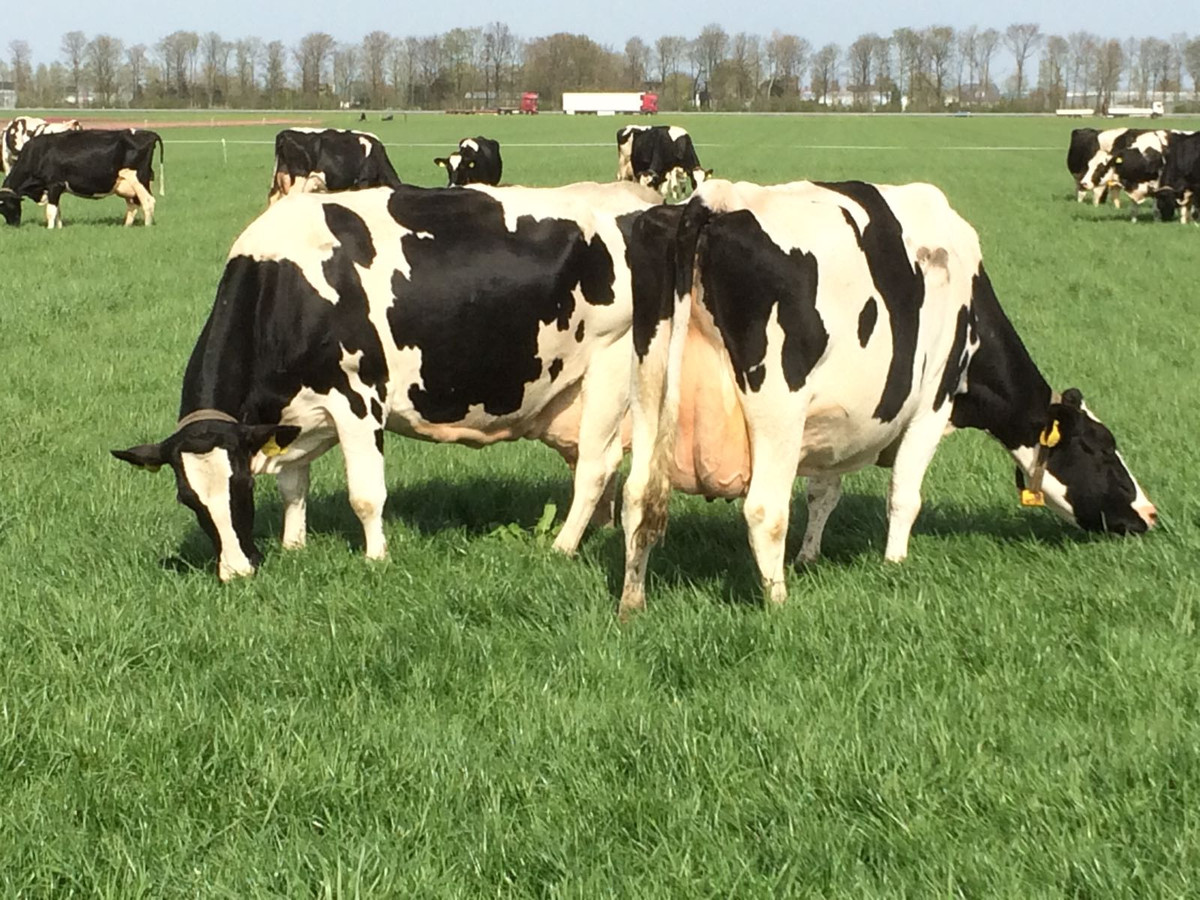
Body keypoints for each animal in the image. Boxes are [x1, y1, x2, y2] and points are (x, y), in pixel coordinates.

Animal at [0, 128, 164, 228]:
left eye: (5, 205)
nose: (13, 224)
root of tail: (148, 133)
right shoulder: (55, 189)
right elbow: (58, 211)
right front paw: (59, 228)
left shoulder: (54, 184)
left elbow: (51, 211)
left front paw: (50, 229)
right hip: (128, 184)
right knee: (133, 204)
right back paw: (126, 226)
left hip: (138, 178)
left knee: (148, 201)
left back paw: (147, 226)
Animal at [112, 181, 662, 581]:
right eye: (188, 499)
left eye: (241, 485)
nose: (236, 572)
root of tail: (636, 201)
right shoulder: (290, 417)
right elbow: (293, 484)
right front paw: (294, 545)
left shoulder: (357, 397)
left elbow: (365, 494)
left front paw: (375, 558)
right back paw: (595, 529)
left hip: (611, 363)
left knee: (595, 464)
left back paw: (562, 545)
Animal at [617, 179, 1156, 617]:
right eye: (1100, 448)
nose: (1149, 514)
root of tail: (714, 199)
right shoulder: (933, 403)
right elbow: (904, 495)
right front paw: (895, 563)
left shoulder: (833, 424)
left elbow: (823, 492)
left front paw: (810, 555)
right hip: (776, 406)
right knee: (765, 510)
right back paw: (779, 602)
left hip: (650, 387)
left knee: (638, 494)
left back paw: (632, 602)